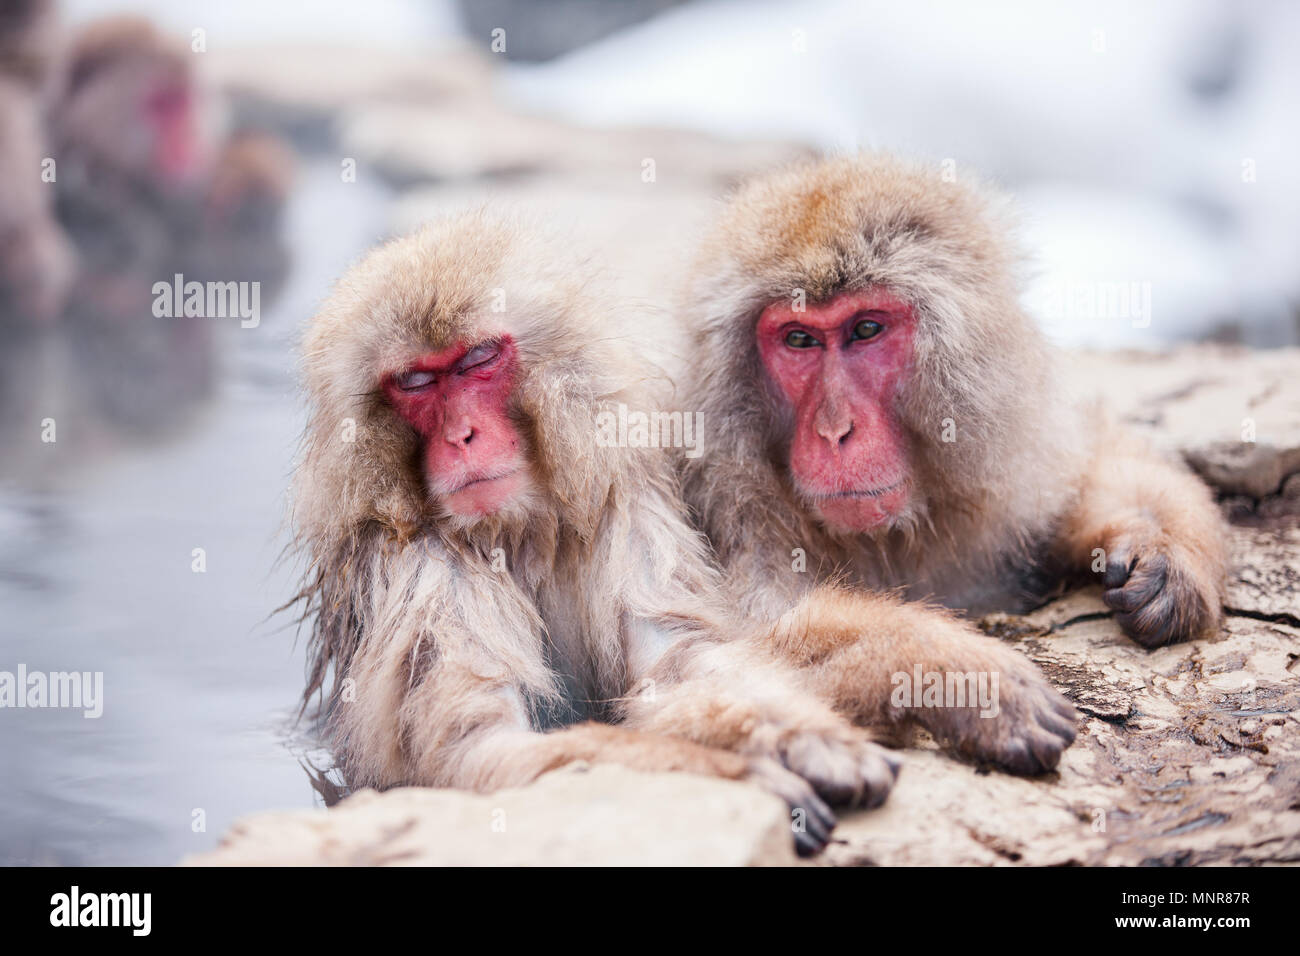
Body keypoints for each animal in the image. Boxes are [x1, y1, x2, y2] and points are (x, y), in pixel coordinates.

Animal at [292, 210, 911, 855]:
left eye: (477, 360)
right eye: (415, 381)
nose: (462, 436)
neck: (512, 532)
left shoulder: (622, 502)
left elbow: (679, 661)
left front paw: (804, 737)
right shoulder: (418, 568)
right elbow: (478, 753)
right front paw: (743, 774)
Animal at [672, 154, 1226, 757]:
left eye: (866, 329)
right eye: (799, 339)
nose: (834, 429)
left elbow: (1083, 463)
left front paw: (1160, 548)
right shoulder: (729, 507)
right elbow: (716, 653)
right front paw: (950, 672)